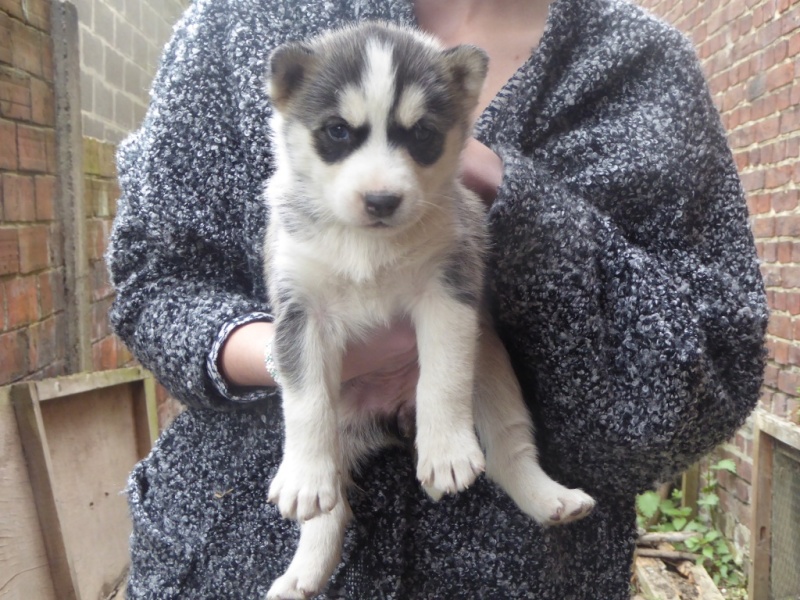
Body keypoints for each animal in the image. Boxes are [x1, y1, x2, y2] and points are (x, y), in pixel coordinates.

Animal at [262, 22, 592, 600]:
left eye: (421, 135)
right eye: (337, 132)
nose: (381, 201)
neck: (368, 245)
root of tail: (394, 415)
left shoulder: (448, 291)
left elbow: (442, 375)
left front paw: (448, 454)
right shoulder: (299, 311)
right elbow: (304, 404)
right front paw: (301, 476)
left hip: (495, 375)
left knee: (507, 451)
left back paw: (551, 498)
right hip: (344, 427)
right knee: (331, 506)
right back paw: (303, 572)